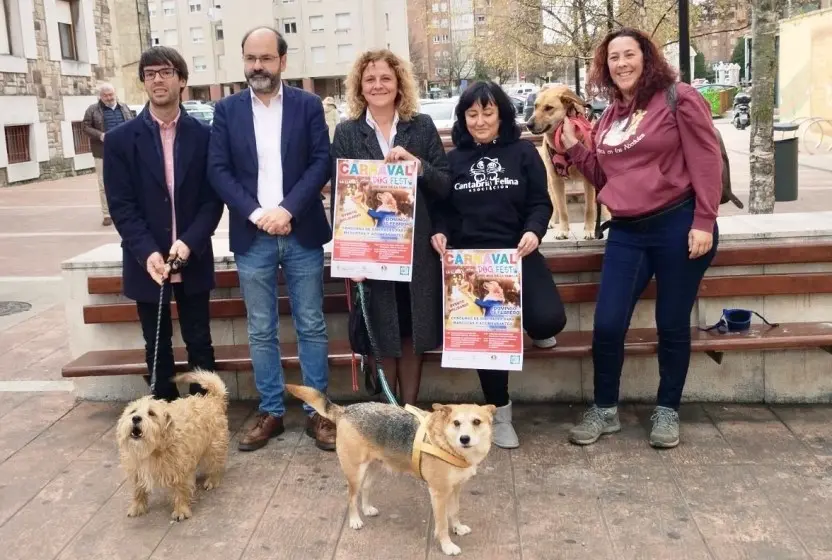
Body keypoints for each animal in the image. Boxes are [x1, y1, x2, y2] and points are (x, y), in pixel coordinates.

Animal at [115, 372, 229, 520]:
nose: (136, 418)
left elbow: (181, 490)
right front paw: (137, 507)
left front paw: (181, 510)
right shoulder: (136, 471)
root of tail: (212, 399)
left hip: (214, 447)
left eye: (151, 413)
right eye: (133, 411)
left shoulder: (180, 469)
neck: (151, 450)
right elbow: (138, 490)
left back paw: (213, 480)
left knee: (215, 464)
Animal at [286, 384, 494, 556]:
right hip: (355, 473)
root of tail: (346, 410)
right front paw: (447, 545)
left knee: (366, 488)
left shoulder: (455, 489)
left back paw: (367, 508)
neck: (448, 444)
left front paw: (457, 527)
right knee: (351, 497)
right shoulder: (439, 493)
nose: (464, 439)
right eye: (456, 423)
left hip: (374, 467)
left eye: (477, 422)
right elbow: (442, 524)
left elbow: (455, 511)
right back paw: (354, 520)